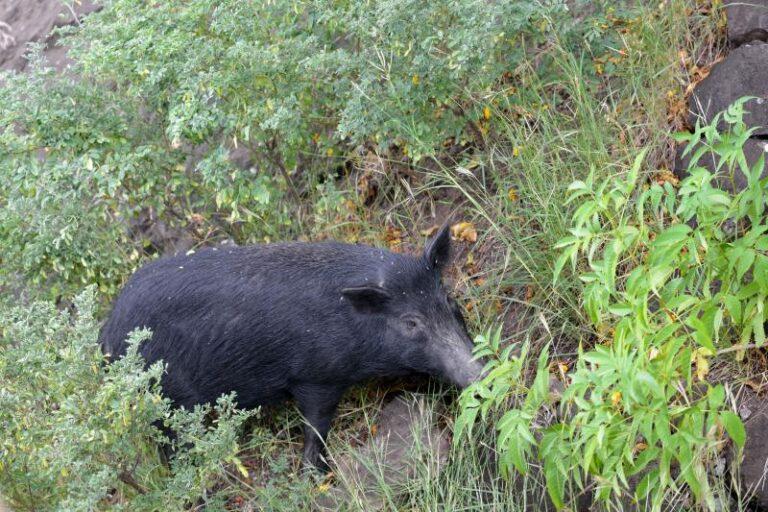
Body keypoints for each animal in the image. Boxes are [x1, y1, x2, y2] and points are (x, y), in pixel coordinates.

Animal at [99, 223, 483, 470]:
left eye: (448, 301)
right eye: (411, 323)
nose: (478, 375)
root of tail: (105, 340)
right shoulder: (314, 376)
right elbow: (316, 424)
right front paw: (318, 471)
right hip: (165, 403)